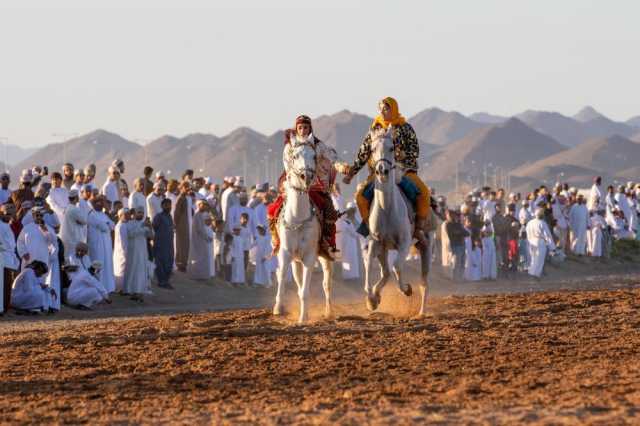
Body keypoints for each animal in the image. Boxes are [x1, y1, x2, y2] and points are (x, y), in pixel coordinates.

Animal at [272, 139, 336, 322]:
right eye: (295, 155)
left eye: (314, 156)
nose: (306, 176)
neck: (298, 218)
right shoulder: (285, 253)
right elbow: (282, 278)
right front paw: (278, 308)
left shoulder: (309, 256)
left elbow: (306, 291)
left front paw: (302, 319)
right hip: (296, 261)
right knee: (299, 281)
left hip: (325, 257)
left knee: (326, 283)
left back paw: (329, 312)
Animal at [364, 126, 430, 316]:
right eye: (372, 149)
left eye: (392, 147)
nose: (382, 170)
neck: (387, 209)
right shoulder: (376, 242)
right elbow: (369, 263)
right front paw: (372, 299)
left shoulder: (404, 242)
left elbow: (397, 266)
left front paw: (407, 289)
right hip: (384, 249)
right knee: (385, 272)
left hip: (424, 244)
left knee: (423, 282)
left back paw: (421, 312)